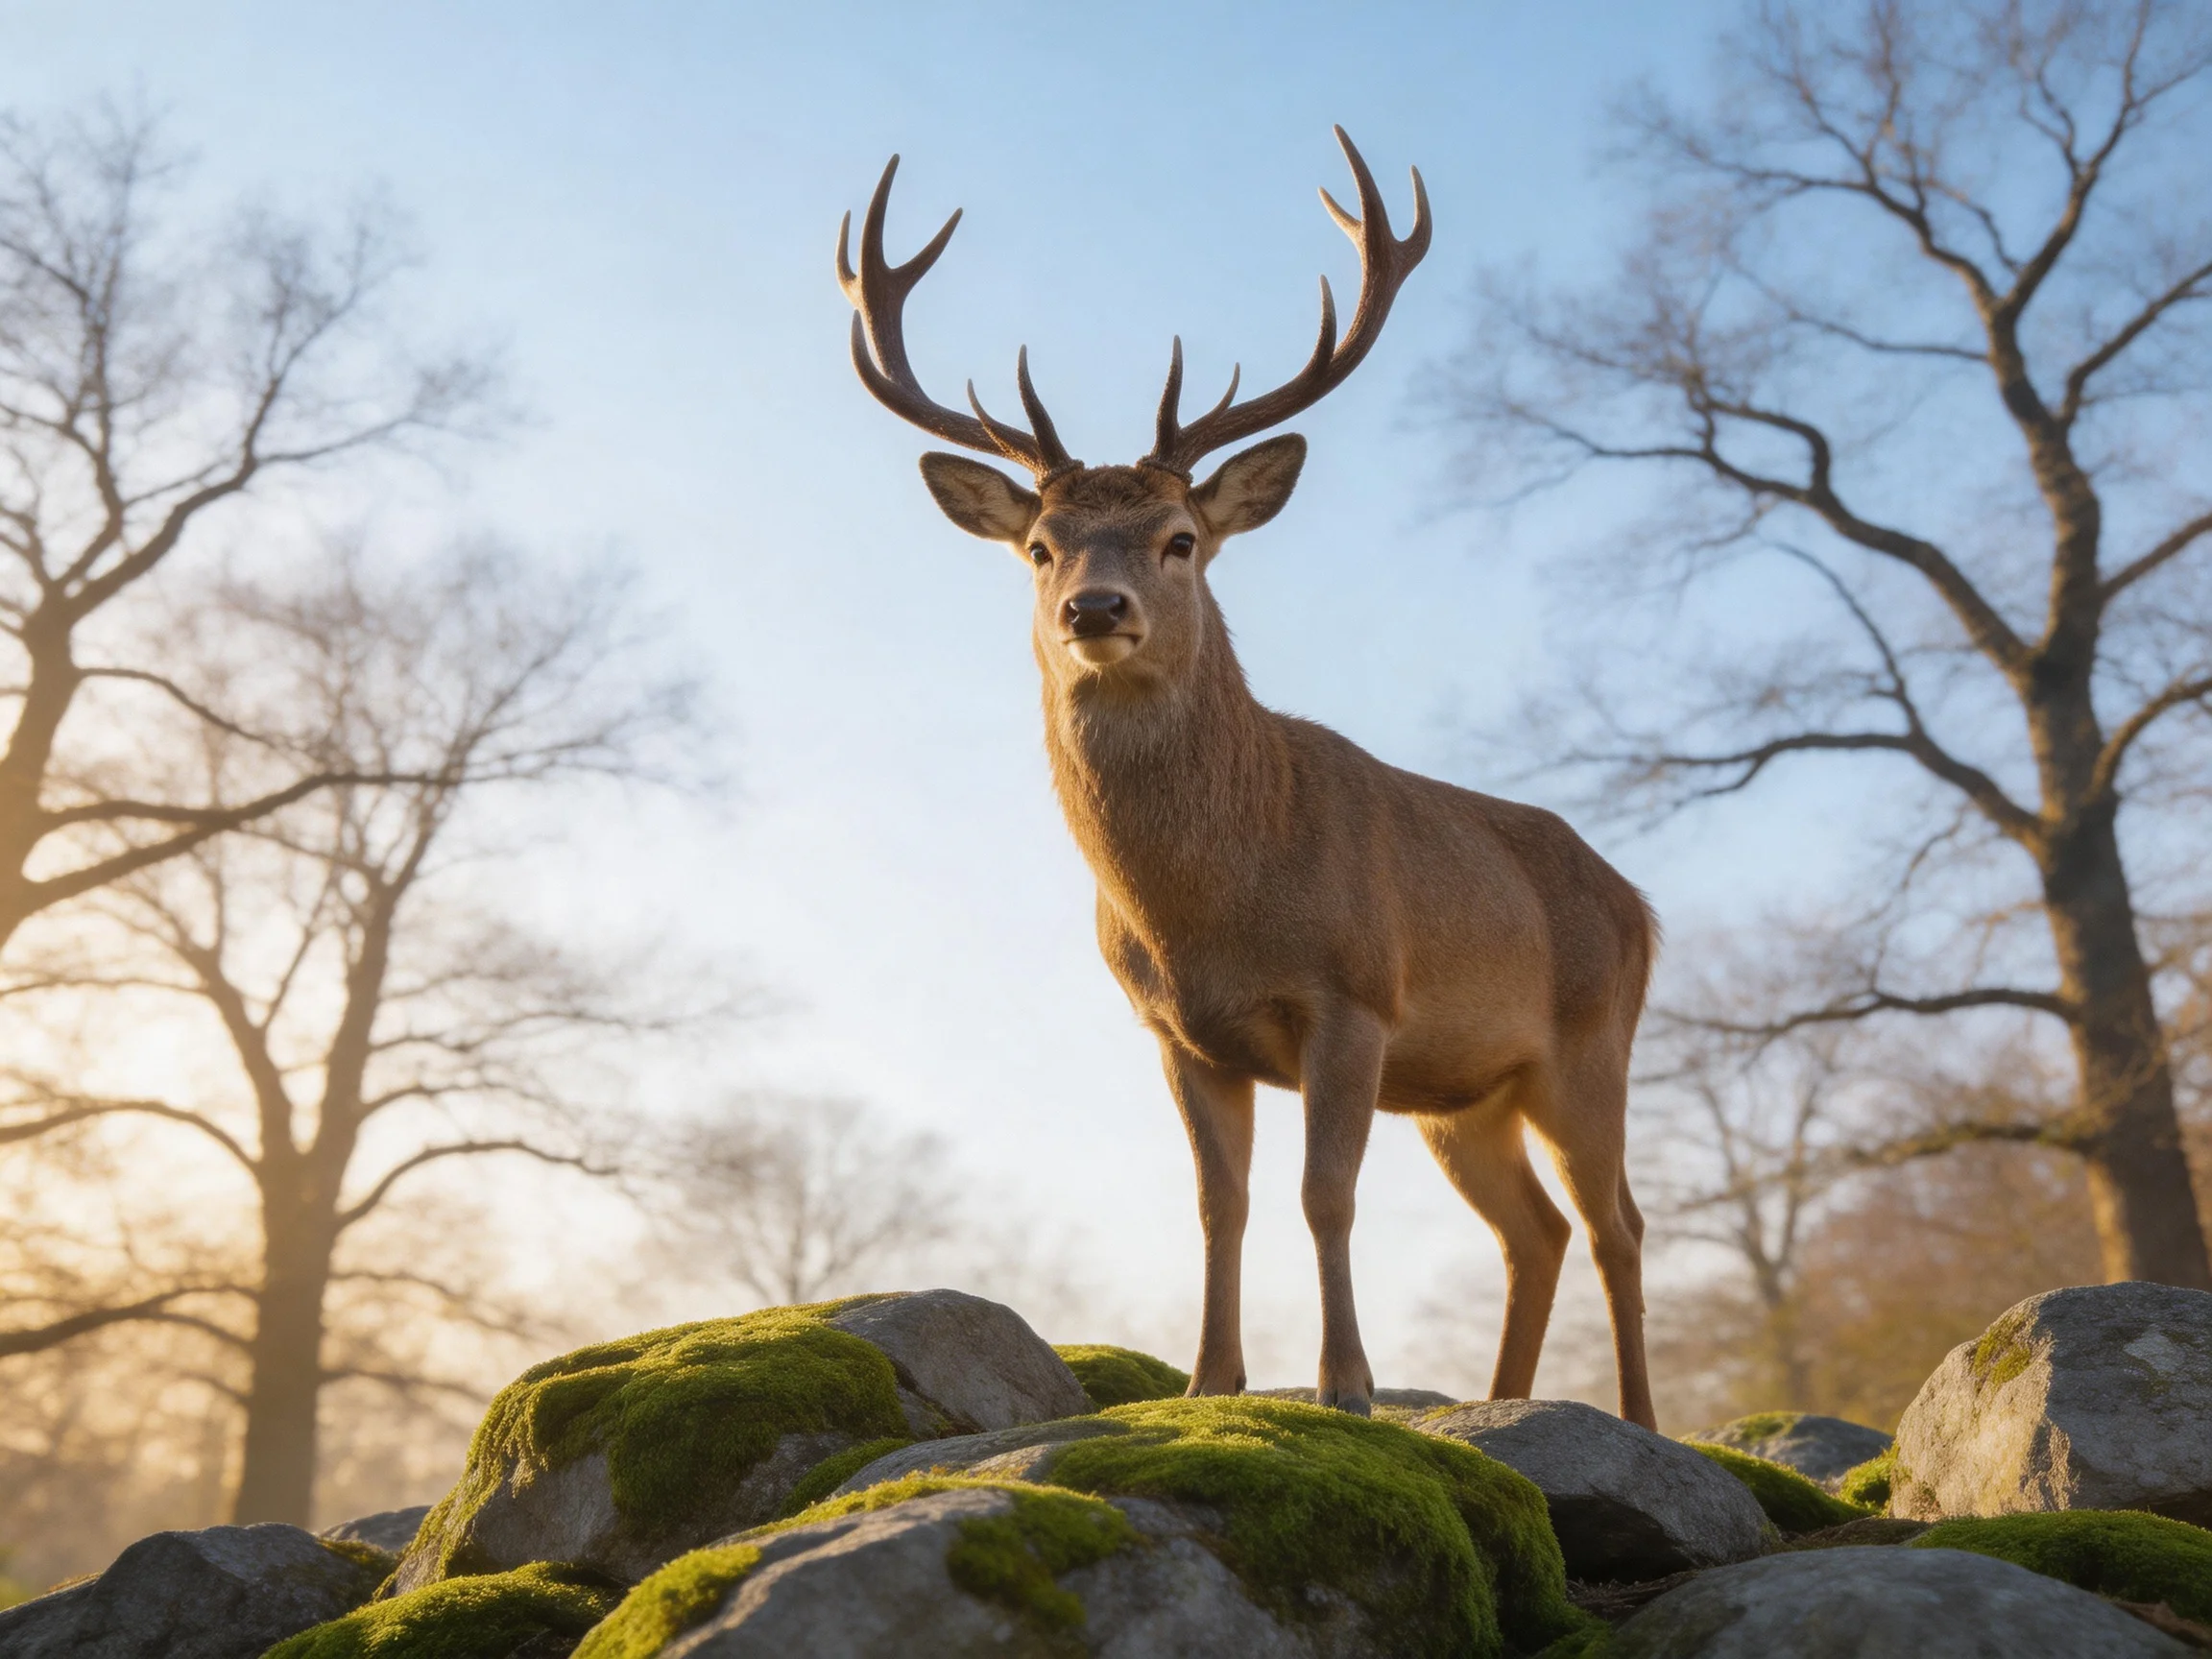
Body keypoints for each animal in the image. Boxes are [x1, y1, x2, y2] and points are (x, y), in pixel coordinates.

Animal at [836, 129, 1659, 1428]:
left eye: (1181, 538)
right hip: (1464, 1095)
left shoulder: (1355, 999)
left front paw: (1346, 1388)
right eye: (1039, 548)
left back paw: (1637, 1417)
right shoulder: (1181, 1034)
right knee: (1535, 1231)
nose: (1095, 609)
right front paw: (1209, 1381)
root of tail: (1642, 903)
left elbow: (1327, 1196)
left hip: (1590, 1045)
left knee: (1618, 1220)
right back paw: (1499, 1404)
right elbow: (1220, 1201)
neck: (1209, 907)